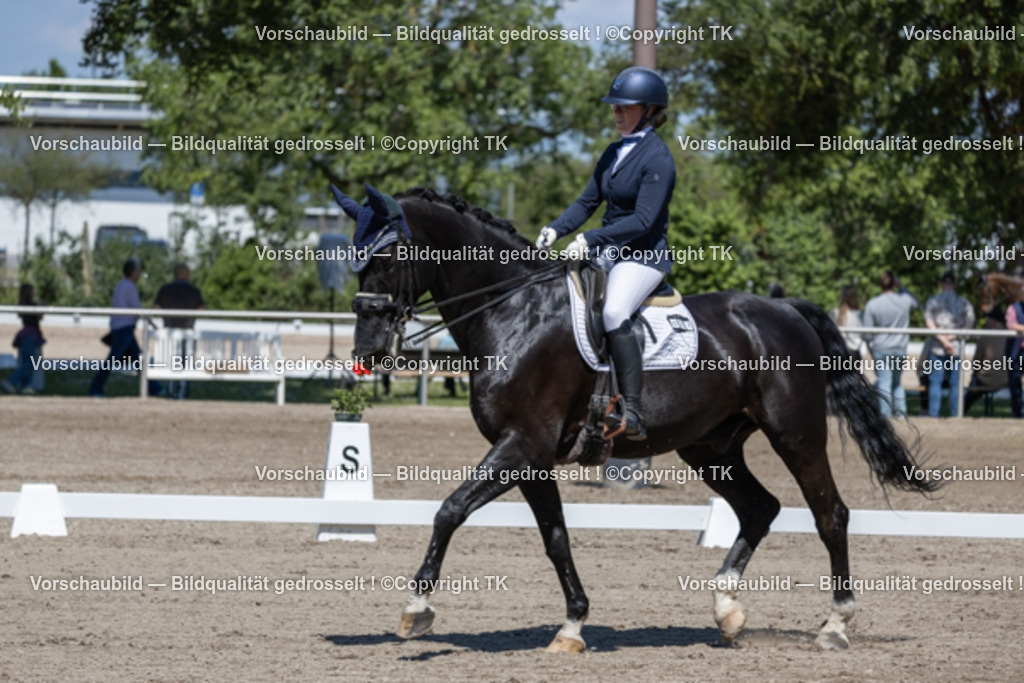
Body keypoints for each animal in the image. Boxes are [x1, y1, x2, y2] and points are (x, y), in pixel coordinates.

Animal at [338, 184, 936, 653]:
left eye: (389, 256)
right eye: (355, 255)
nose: (367, 349)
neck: (513, 311)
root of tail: (786, 308)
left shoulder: (521, 444)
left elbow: (449, 510)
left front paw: (416, 610)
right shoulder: (531, 456)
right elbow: (556, 539)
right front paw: (572, 626)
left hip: (796, 434)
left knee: (830, 514)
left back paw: (834, 625)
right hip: (710, 447)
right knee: (760, 508)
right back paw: (727, 612)